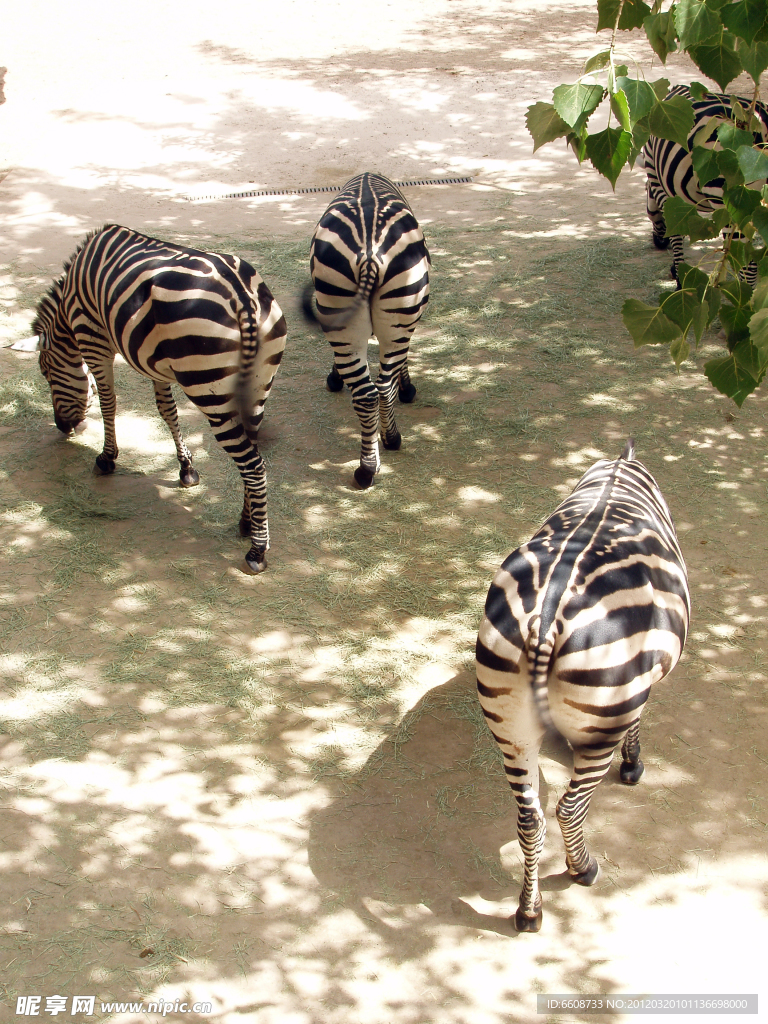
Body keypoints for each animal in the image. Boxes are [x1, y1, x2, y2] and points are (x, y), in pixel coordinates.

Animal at [33, 226, 288, 577]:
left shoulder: (93, 338)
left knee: (253, 464)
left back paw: (257, 549)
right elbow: (167, 411)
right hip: (257, 386)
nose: (62, 427)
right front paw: (186, 468)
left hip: (209, 388)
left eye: (45, 373)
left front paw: (107, 458)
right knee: (253, 450)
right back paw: (246, 522)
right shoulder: (153, 360)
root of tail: (242, 296)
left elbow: (109, 402)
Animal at [303, 169, 430, 489]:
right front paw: (408, 387)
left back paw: (366, 467)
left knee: (369, 394)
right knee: (383, 387)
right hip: (398, 313)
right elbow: (402, 364)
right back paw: (390, 442)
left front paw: (335, 377)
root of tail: (370, 253)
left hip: (341, 304)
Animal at [475, 438, 692, 929]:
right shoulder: (638, 686)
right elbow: (638, 723)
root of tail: (545, 620)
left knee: (530, 820)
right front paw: (633, 764)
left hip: (511, 730)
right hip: (602, 716)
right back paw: (583, 869)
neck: (618, 471)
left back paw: (529, 910)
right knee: (569, 808)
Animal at [643, 82, 768, 282]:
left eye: (647, 192)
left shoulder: (659, 184)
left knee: (747, 268)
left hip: (732, 205)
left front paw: (679, 276)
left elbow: (676, 232)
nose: (659, 242)